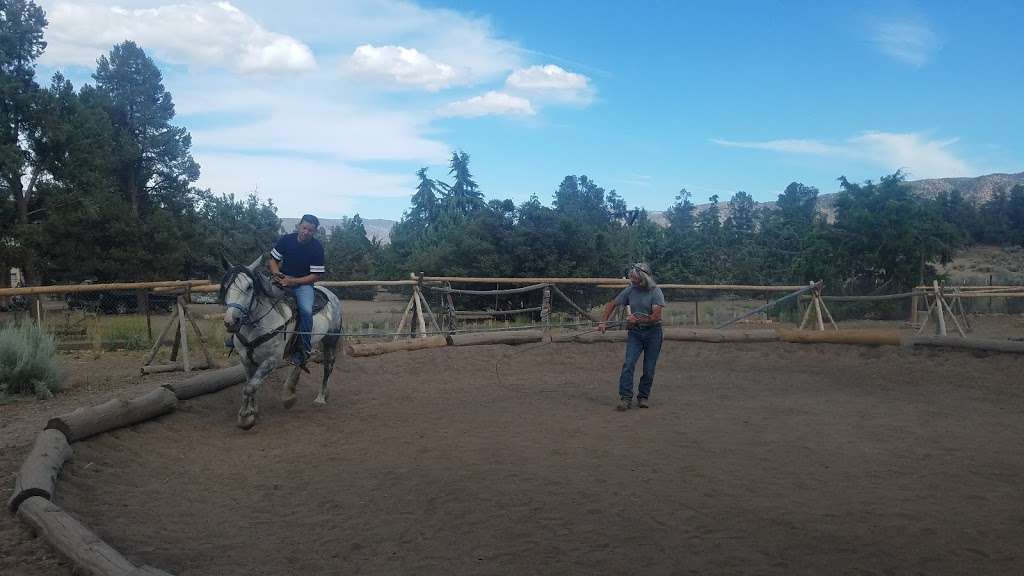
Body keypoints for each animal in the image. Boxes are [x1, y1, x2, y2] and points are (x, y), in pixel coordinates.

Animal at [220, 254, 344, 426]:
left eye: (249, 287)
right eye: (226, 285)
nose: (231, 322)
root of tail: (331, 295)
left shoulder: (272, 360)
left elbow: (249, 387)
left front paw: (245, 416)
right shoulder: (245, 359)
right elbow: (250, 384)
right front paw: (252, 410)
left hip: (330, 341)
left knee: (328, 367)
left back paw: (320, 397)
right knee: (303, 358)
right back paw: (290, 394)